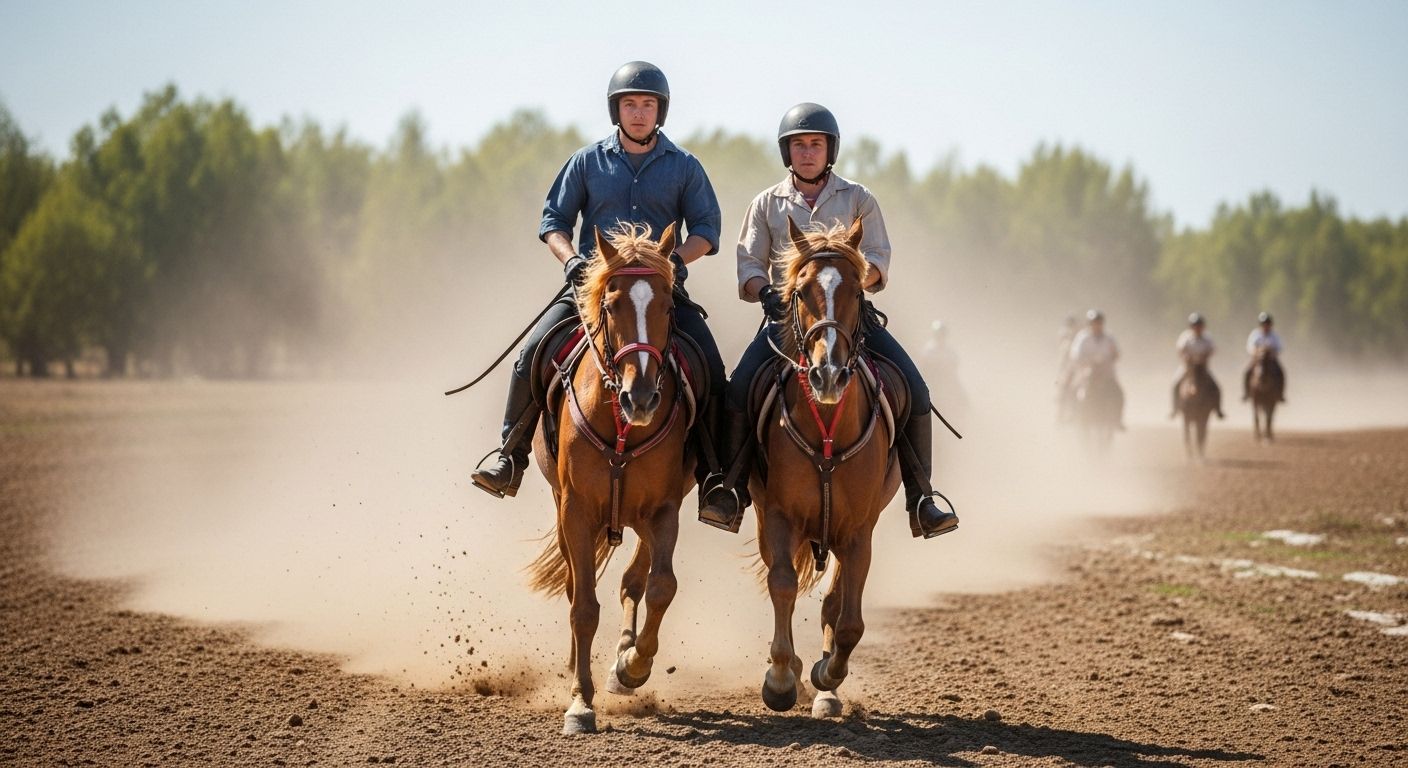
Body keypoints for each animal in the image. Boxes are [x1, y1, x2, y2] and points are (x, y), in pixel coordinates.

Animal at [524, 223, 692, 735]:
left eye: (667, 305)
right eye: (613, 303)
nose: (642, 396)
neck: (620, 423)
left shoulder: (665, 510)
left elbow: (661, 586)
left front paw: (632, 665)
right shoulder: (575, 511)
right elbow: (583, 607)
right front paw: (580, 703)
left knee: (634, 580)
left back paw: (623, 658)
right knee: (576, 588)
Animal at [751, 217, 902, 719]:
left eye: (857, 290)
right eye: (799, 292)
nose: (829, 374)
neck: (827, 432)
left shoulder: (859, 531)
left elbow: (848, 619)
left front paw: (827, 675)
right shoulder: (778, 516)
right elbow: (782, 584)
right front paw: (780, 678)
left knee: (834, 602)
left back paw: (826, 690)